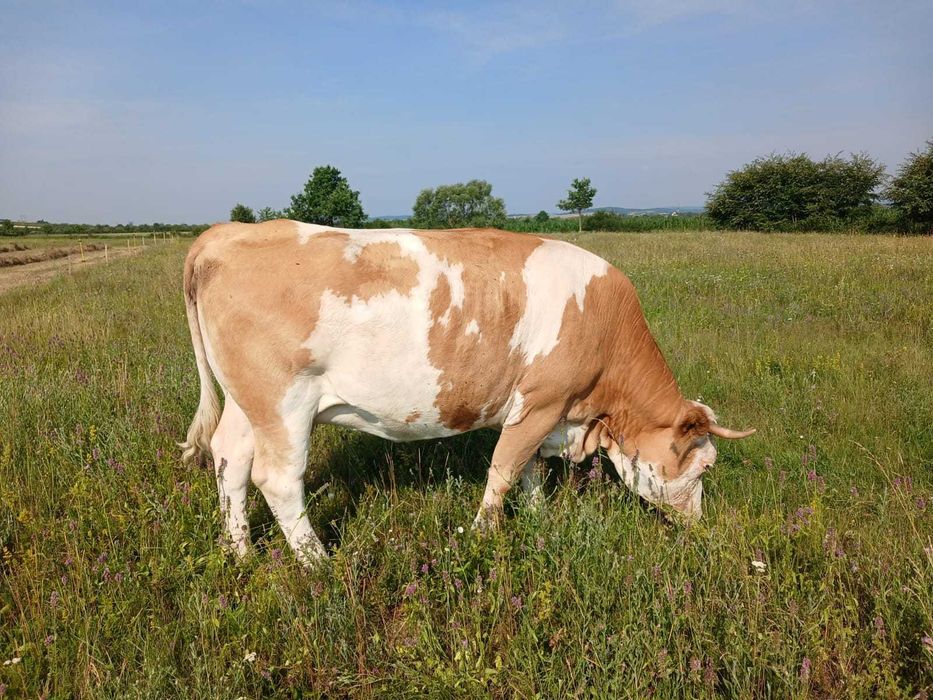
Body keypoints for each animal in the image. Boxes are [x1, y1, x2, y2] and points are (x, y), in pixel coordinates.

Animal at [180, 221, 754, 566]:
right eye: (704, 466)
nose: (699, 526)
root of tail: (226, 232)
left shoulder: (543, 413)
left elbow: (529, 469)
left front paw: (539, 517)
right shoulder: (542, 401)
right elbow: (504, 470)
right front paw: (482, 537)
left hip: (247, 403)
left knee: (229, 458)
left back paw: (241, 552)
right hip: (285, 402)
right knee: (277, 479)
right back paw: (318, 563)